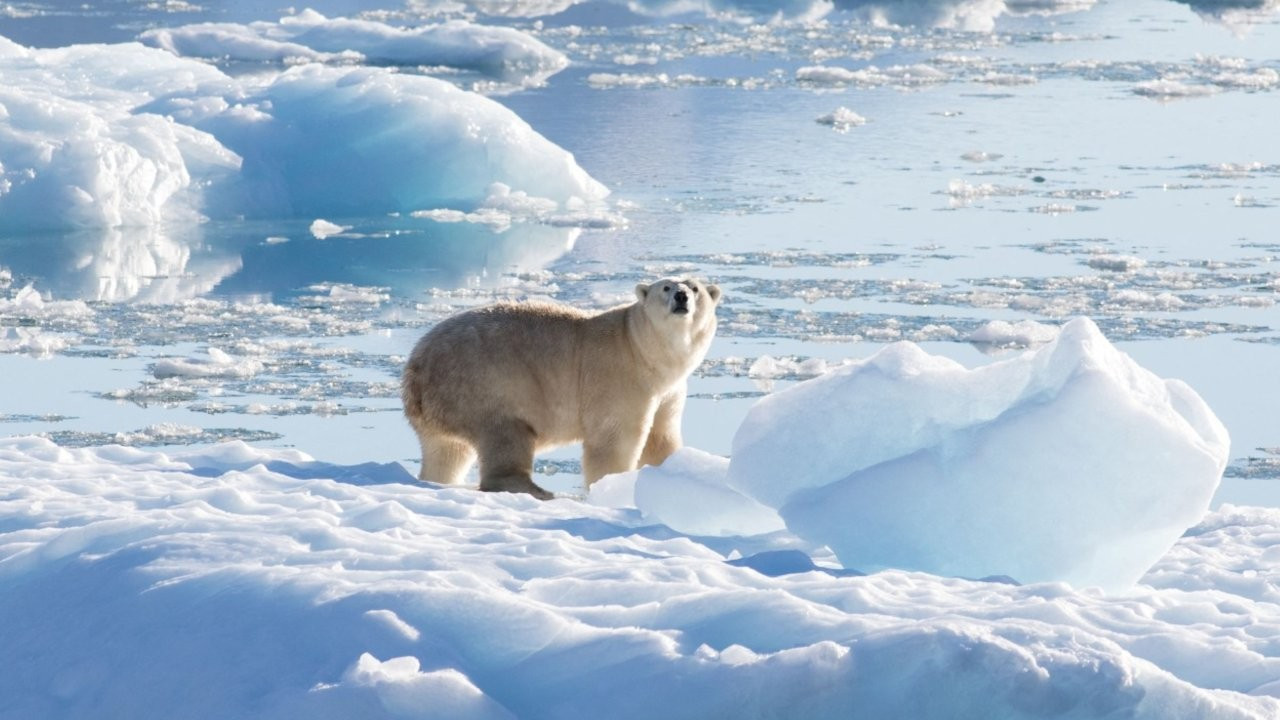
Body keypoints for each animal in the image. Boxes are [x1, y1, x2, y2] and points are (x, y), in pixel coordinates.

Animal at [401, 278, 721, 497]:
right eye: (665, 287)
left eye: (695, 287)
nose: (681, 296)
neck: (642, 349)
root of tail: (416, 367)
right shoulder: (619, 376)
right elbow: (614, 439)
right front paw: (612, 486)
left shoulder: (669, 391)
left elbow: (661, 438)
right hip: (484, 383)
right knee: (505, 434)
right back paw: (537, 490)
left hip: (443, 405)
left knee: (446, 451)